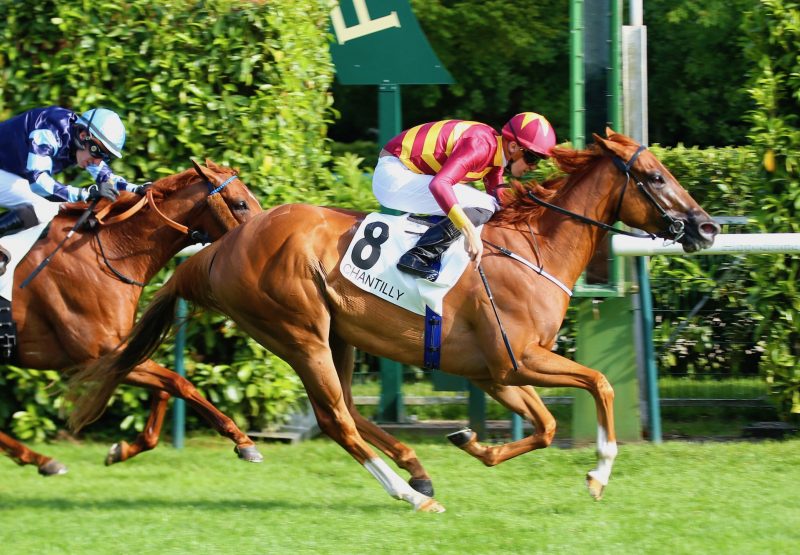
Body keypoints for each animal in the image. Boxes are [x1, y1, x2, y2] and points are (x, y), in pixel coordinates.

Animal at [0, 159, 262, 476]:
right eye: (240, 203)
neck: (108, 254)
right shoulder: (101, 354)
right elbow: (180, 383)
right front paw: (243, 441)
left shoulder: (118, 352)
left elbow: (166, 389)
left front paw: (121, 450)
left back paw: (41, 460)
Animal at [70, 131, 720, 512]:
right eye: (656, 177)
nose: (708, 227)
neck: (532, 250)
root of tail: (217, 249)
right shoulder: (519, 360)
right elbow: (602, 383)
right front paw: (599, 474)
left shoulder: (497, 374)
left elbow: (546, 427)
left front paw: (473, 442)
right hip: (299, 332)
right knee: (336, 420)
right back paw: (411, 493)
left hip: (339, 336)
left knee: (348, 411)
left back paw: (418, 471)